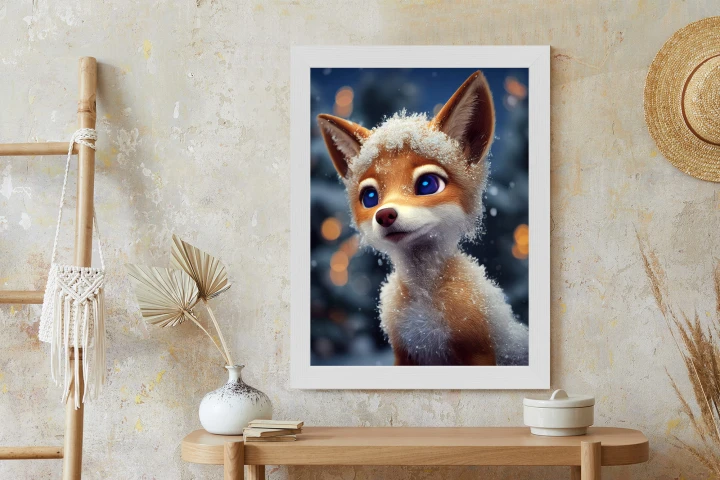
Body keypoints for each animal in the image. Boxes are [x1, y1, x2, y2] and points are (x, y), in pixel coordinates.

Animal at [317, 71, 529, 366]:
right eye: (369, 197)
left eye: (428, 184)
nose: (385, 215)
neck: (424, 303)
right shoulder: (405, 353)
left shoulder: (477, 350)